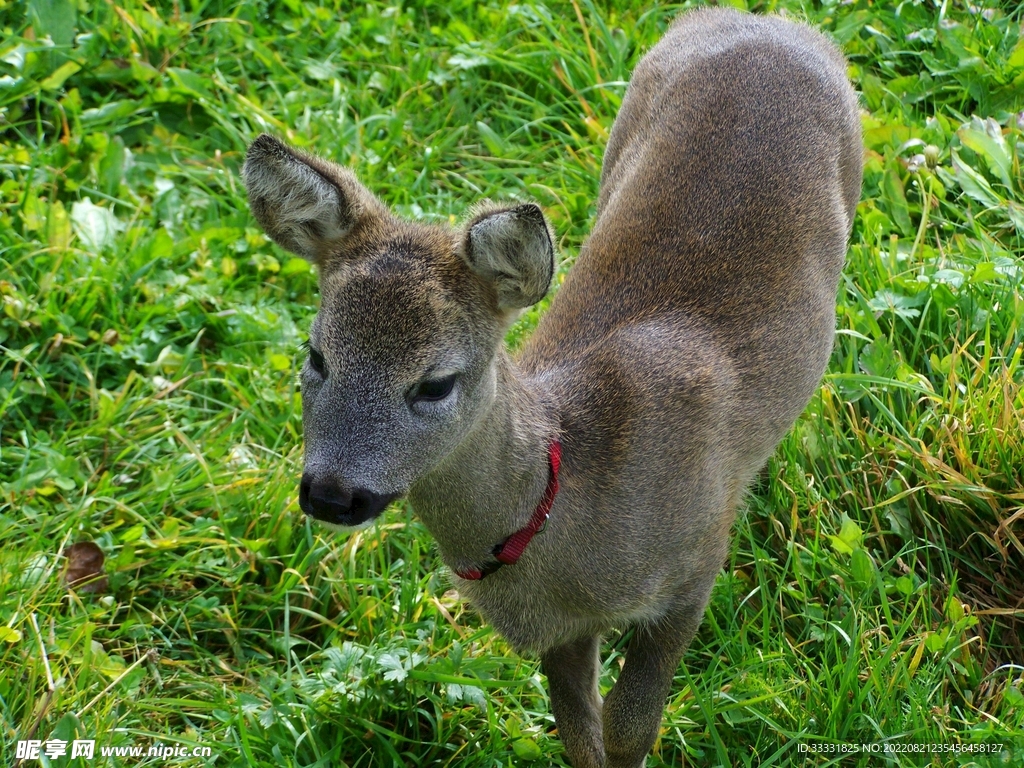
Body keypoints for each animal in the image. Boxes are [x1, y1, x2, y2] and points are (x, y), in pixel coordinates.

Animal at [242, 7, 862, 767]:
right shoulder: (561, 631)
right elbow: (581, 735)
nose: (332, 494)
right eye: (317, 354)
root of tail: (764, 20)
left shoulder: (696, 560)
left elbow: (629, 726)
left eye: (436, 382)